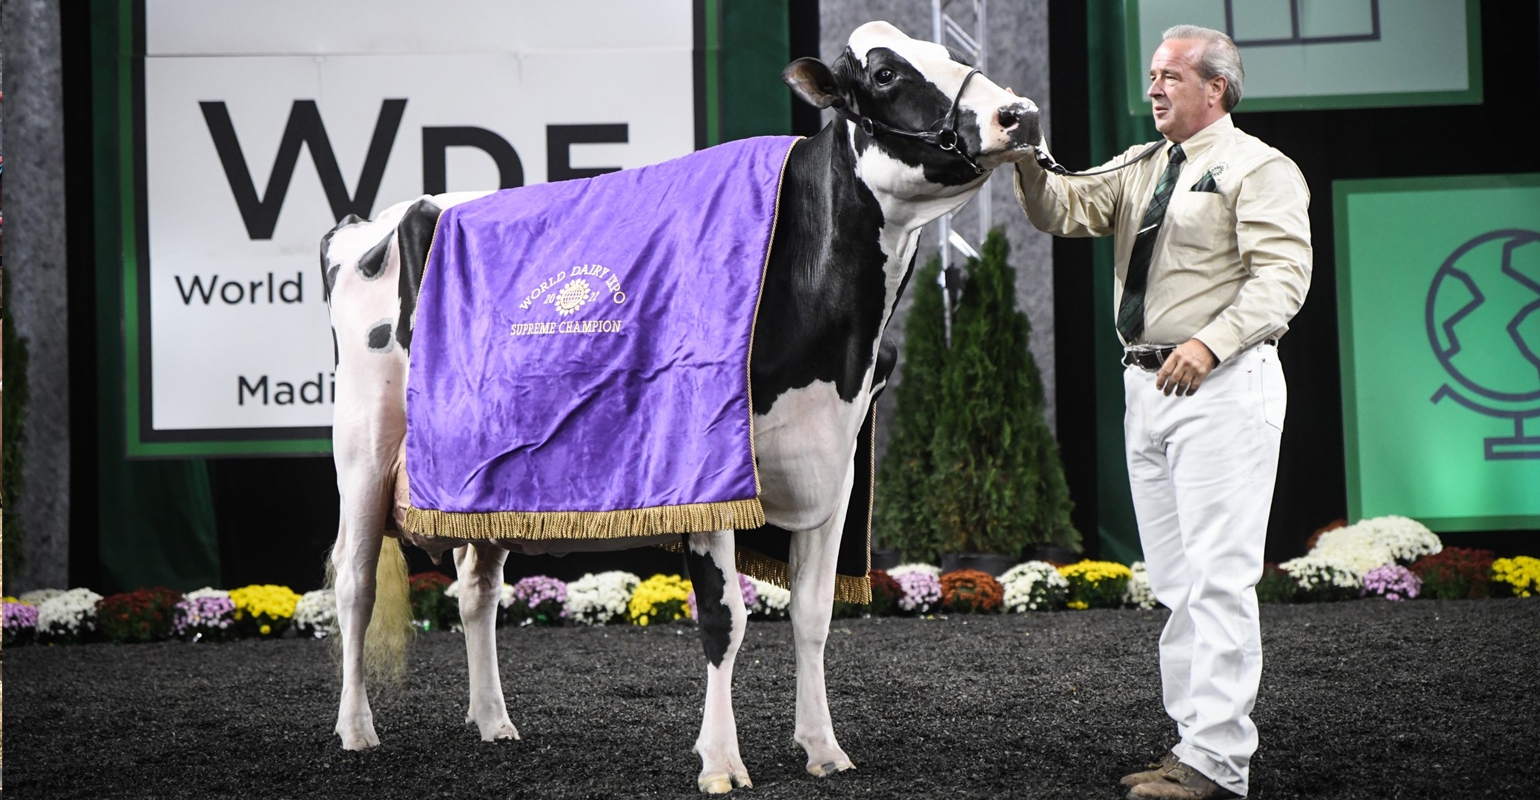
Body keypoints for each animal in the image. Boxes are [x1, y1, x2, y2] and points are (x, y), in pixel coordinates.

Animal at [324, 20, 1047, 795]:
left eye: (959, 56)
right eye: (884, 73)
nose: (1021, 115)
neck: (836, 340)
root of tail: (379, 219)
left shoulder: (838, 465)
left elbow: (814, 616)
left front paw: (822, 747)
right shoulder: (707, 473)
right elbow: (724, 622)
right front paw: (722, 762)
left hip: (481, 480)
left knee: (475, 590)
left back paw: (493, 721)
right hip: (363, 445)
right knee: (356, 586)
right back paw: (357, 730)